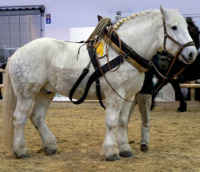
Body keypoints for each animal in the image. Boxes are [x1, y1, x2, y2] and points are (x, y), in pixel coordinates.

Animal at [2, 7, 197, 160]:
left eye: (187, 28)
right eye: (173, 27)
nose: (192, 53)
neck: (122, 53)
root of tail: (18, 52)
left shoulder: (128, 96)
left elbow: (122, 122)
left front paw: (125, 149)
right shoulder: (114, 95)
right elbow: (112, 122)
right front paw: (111, 152)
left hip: (45, 92)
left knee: (37, 117)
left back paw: (50, 146)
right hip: (26, 94)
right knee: (19, 118)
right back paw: (21, 151)